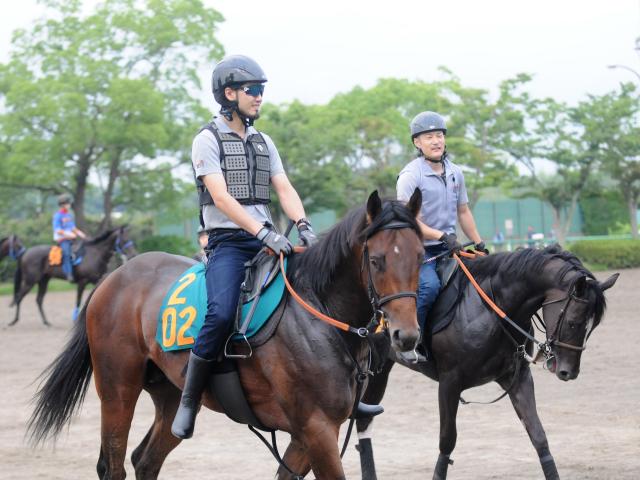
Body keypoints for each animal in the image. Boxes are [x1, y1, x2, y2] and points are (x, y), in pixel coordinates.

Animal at [9, 225, 137, 326]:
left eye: (130, 238)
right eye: (125, 239)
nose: (133, 254)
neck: (95, 254)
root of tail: (25, 253)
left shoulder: (97, 280)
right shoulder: (82, 282)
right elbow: (78, 301)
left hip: (43, 280)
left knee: (39, 300)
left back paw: (46, 322)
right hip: (30, 281)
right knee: (19, 297)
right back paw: (14, 320)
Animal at [26, 191, 424, 480]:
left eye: (421, 256)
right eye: (377, 261)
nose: (406, 335)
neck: (318, 311)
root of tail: (116, 276)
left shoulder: (307, 435)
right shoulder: (317, 429)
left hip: (171, 396)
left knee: (145, 460)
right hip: (117, 391)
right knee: (113, 466)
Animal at [352, 246, 616, 478]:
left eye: (592, 326)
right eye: (573, 322)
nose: (568, 371)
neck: (491, 309)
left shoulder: (517, 378)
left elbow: (539, 437)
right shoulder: (449, 383)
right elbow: (447, 442)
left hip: (381, 369)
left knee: (363, 421)